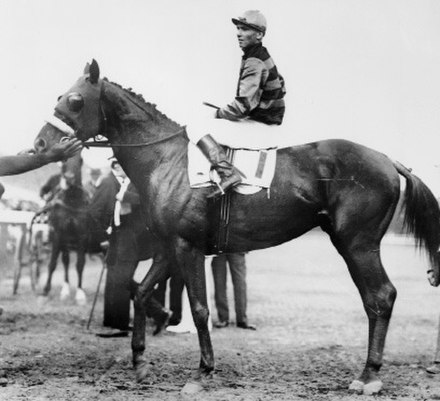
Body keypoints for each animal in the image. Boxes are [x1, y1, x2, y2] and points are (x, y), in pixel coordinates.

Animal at [42, 153, 92, 304]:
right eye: (64, 159)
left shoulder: (82, 235)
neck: (72, 201)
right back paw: (64, 290)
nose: (69, 178)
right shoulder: (58, 233)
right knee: (65, 260)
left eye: (80, 159)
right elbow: (53, 263)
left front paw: (80, 294)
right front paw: (46, 290)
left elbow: (80, 264)